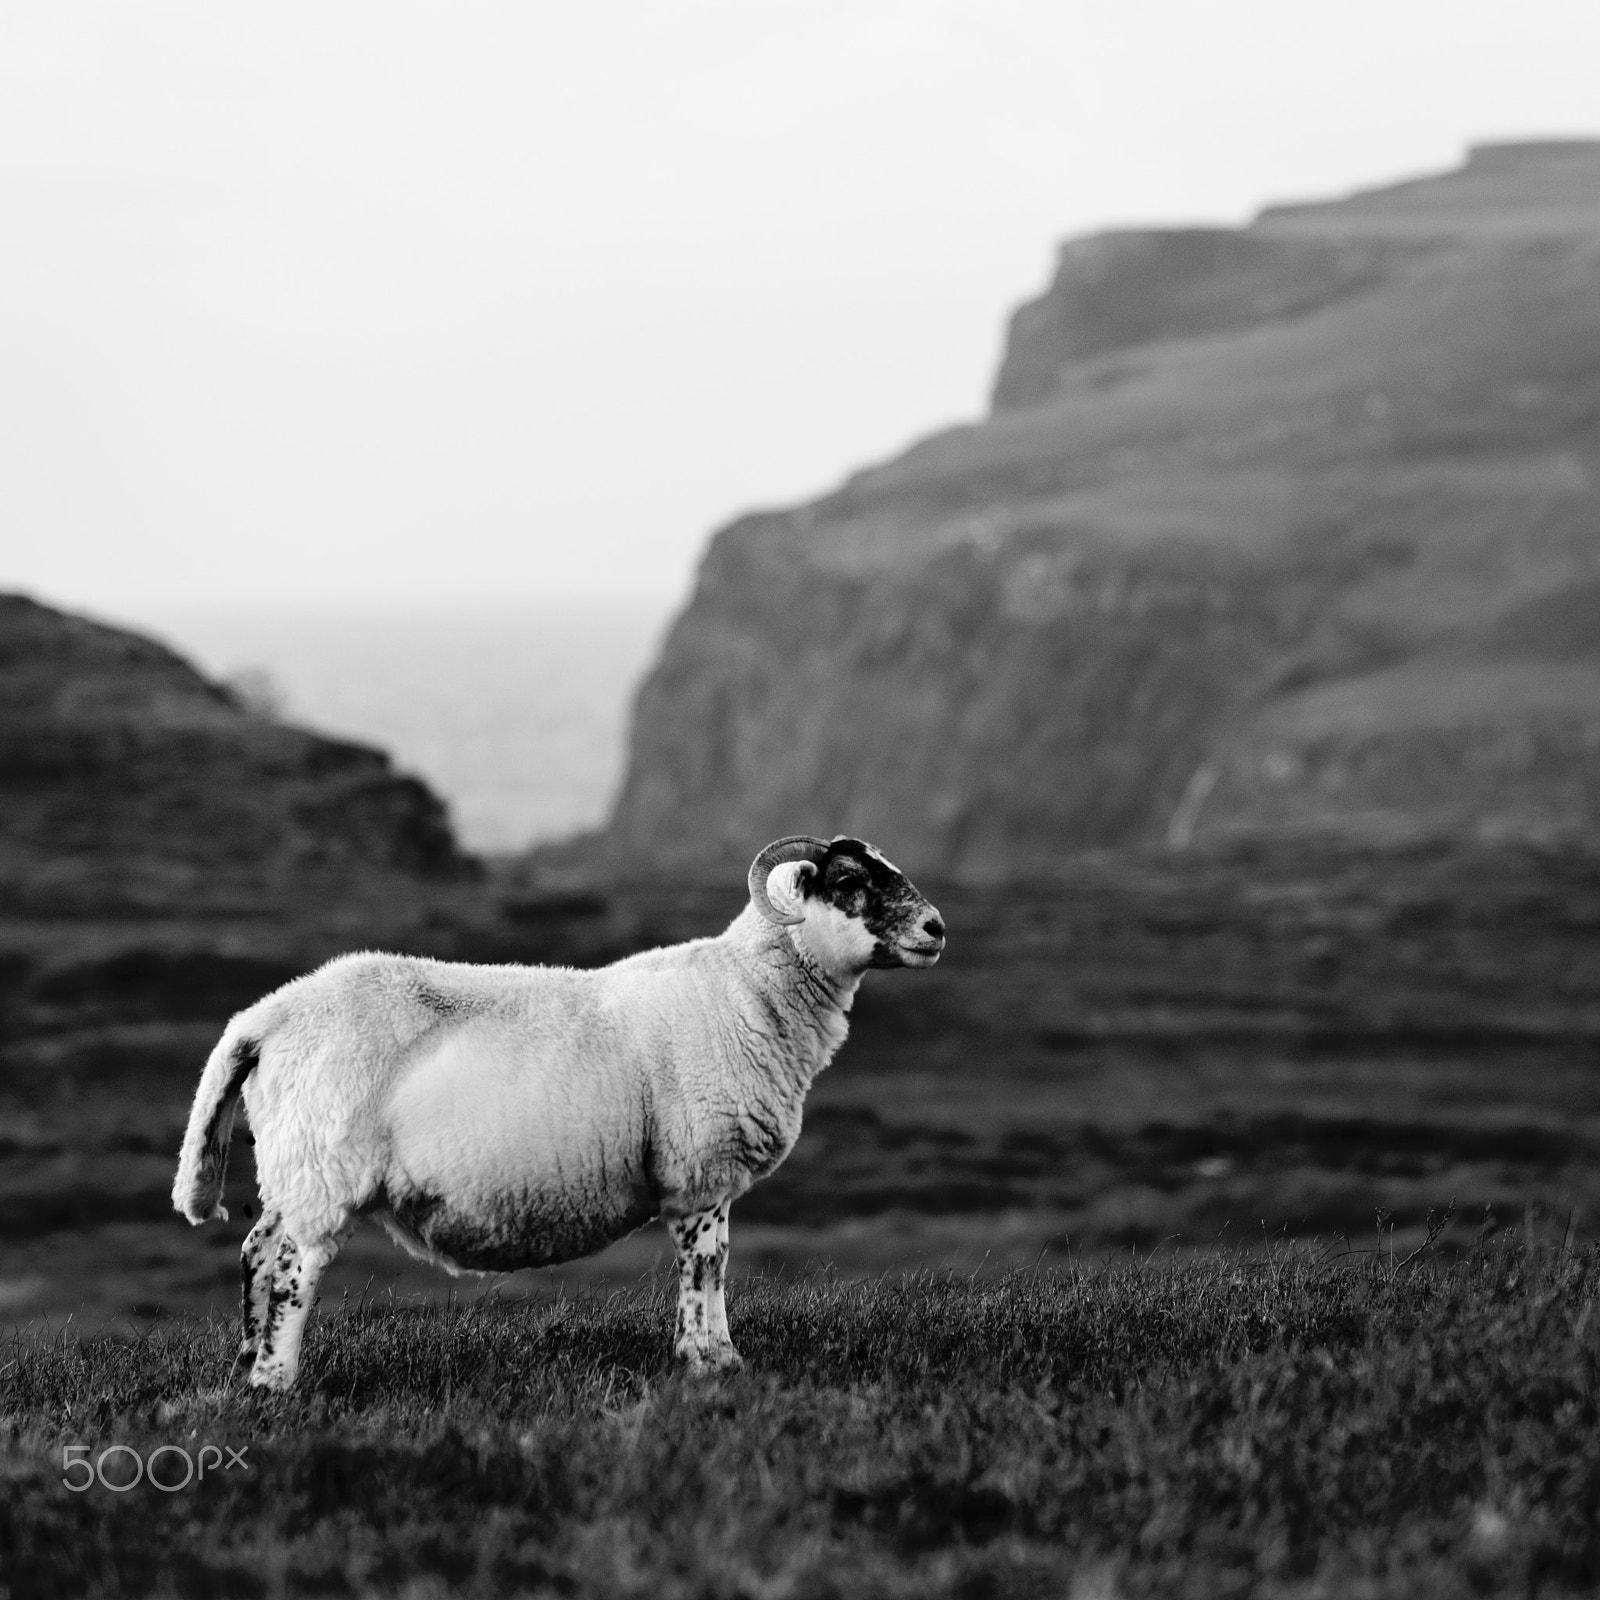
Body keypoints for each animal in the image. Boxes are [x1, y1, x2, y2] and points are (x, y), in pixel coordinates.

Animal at [172, 834, 945, 1390]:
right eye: (849, 883)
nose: (937, 928)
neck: (749, 991)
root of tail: (264, 1019)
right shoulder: (700, 1171)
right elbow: (708, 1267)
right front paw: (713, 1363)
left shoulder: (704, 1177)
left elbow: (709, 1269)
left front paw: (709, 1357)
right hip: (322, 1165)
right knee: (291, 1267)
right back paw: (277, 1381)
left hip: (294, 1164)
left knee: (256, 1250)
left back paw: (246, 1364)